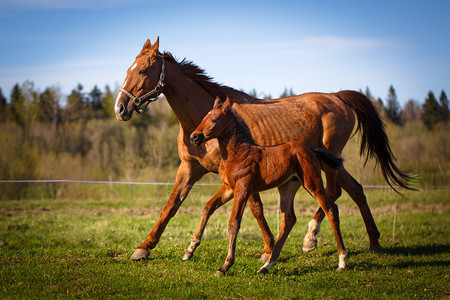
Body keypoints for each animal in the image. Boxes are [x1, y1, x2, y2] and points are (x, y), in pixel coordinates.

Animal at [190, 97, 348, 276]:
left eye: (215, 119)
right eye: (204, 117)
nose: (194, 137)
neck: (236, 153)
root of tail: (310, 150)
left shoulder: (243, 188)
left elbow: (233, 223)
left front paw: (225, 266)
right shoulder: (229, 187)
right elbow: (208, 207)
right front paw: (189, 250)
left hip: (312, 183)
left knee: (330, 211)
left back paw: (342, 261)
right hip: (287, 187)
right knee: (290, 219)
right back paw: (267, 265)